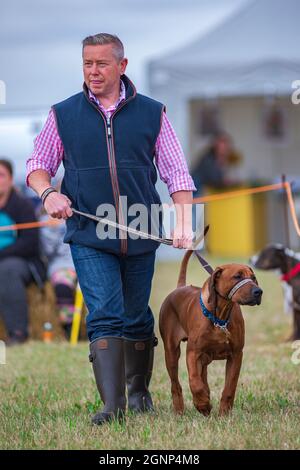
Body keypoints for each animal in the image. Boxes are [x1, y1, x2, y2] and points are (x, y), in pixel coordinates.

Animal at [159, 252, 262, 416]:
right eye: (237, 276)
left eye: (253, 277)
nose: (258, 292)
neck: (219, 317)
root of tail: (180, 287)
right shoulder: (193, 353)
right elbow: (194, 382)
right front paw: (202, 404)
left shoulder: (236, 354)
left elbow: (229, 387)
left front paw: (224, 413)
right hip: (171, 353)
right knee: (176, 384)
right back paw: (180, 409)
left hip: (205, 357)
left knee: (204, 377)